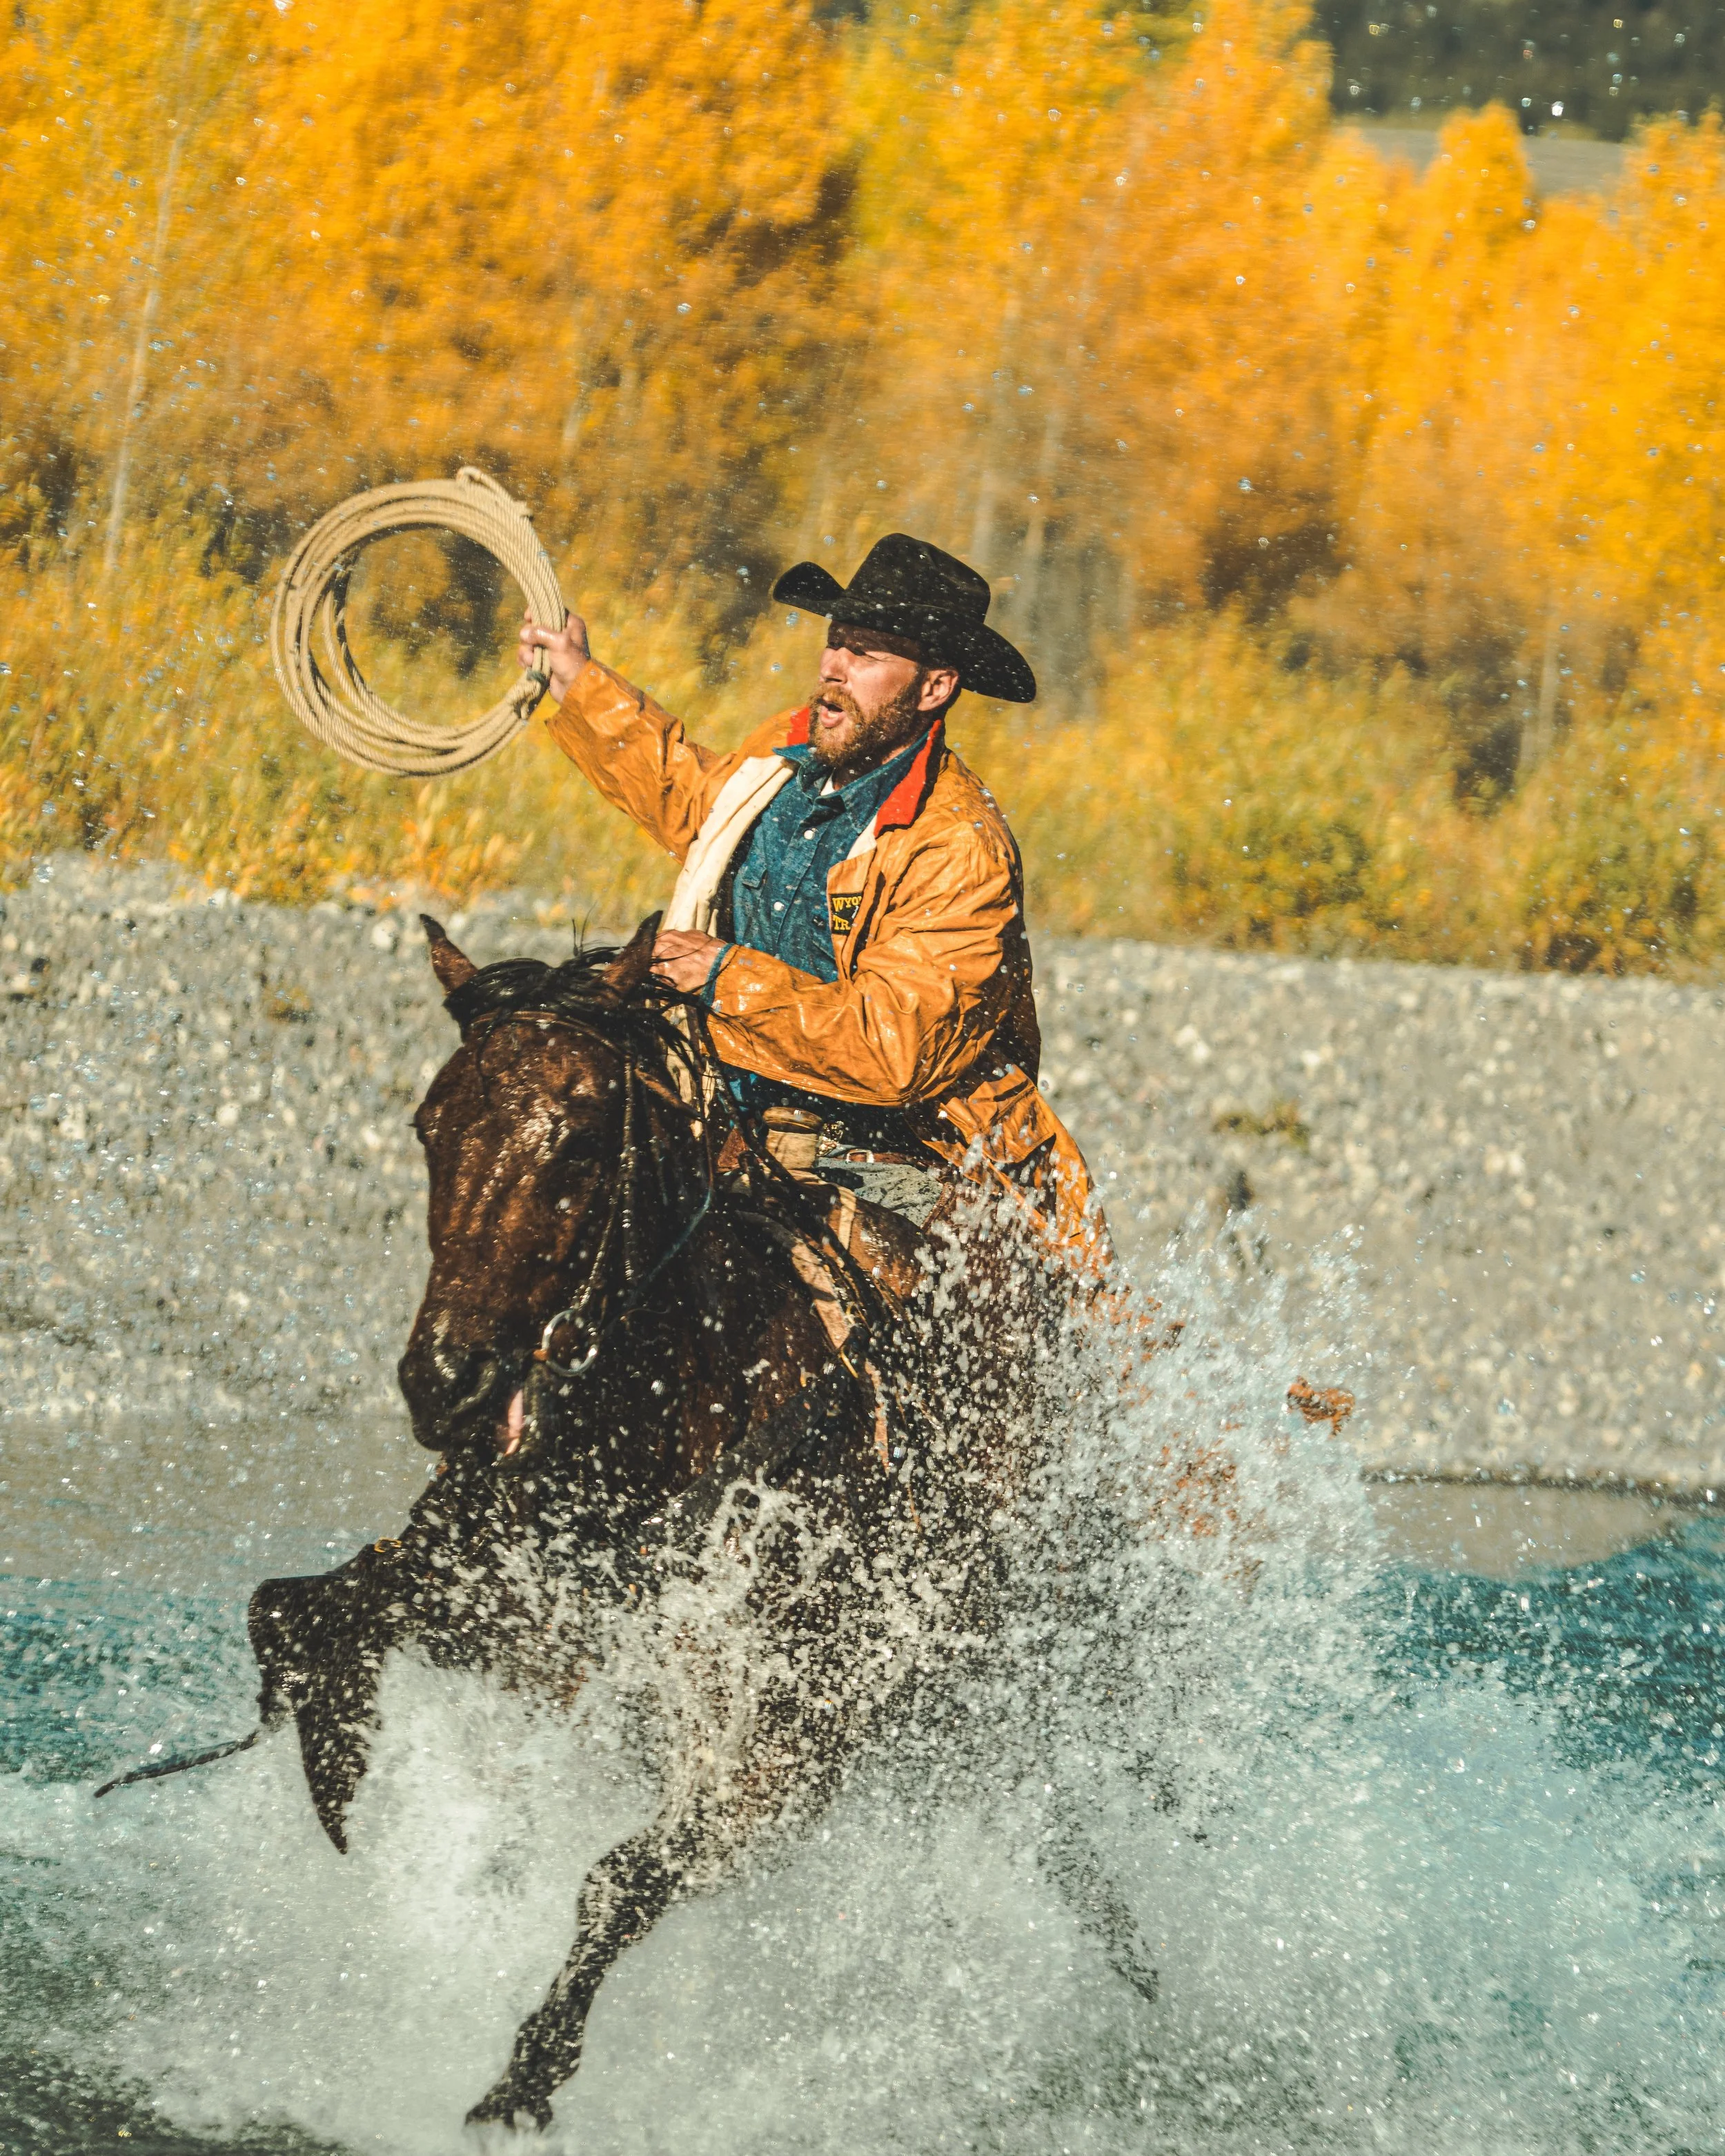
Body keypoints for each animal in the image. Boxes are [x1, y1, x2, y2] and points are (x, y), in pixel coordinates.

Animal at [244, 911, 1080, 2131]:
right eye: (432, 1124)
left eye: (582, 1138)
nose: (445, 1384)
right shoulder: (508, 1617)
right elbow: (302, 1608)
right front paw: (340, 1771)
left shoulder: (785, 1747)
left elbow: (624, 1879)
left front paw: (522, 2079)